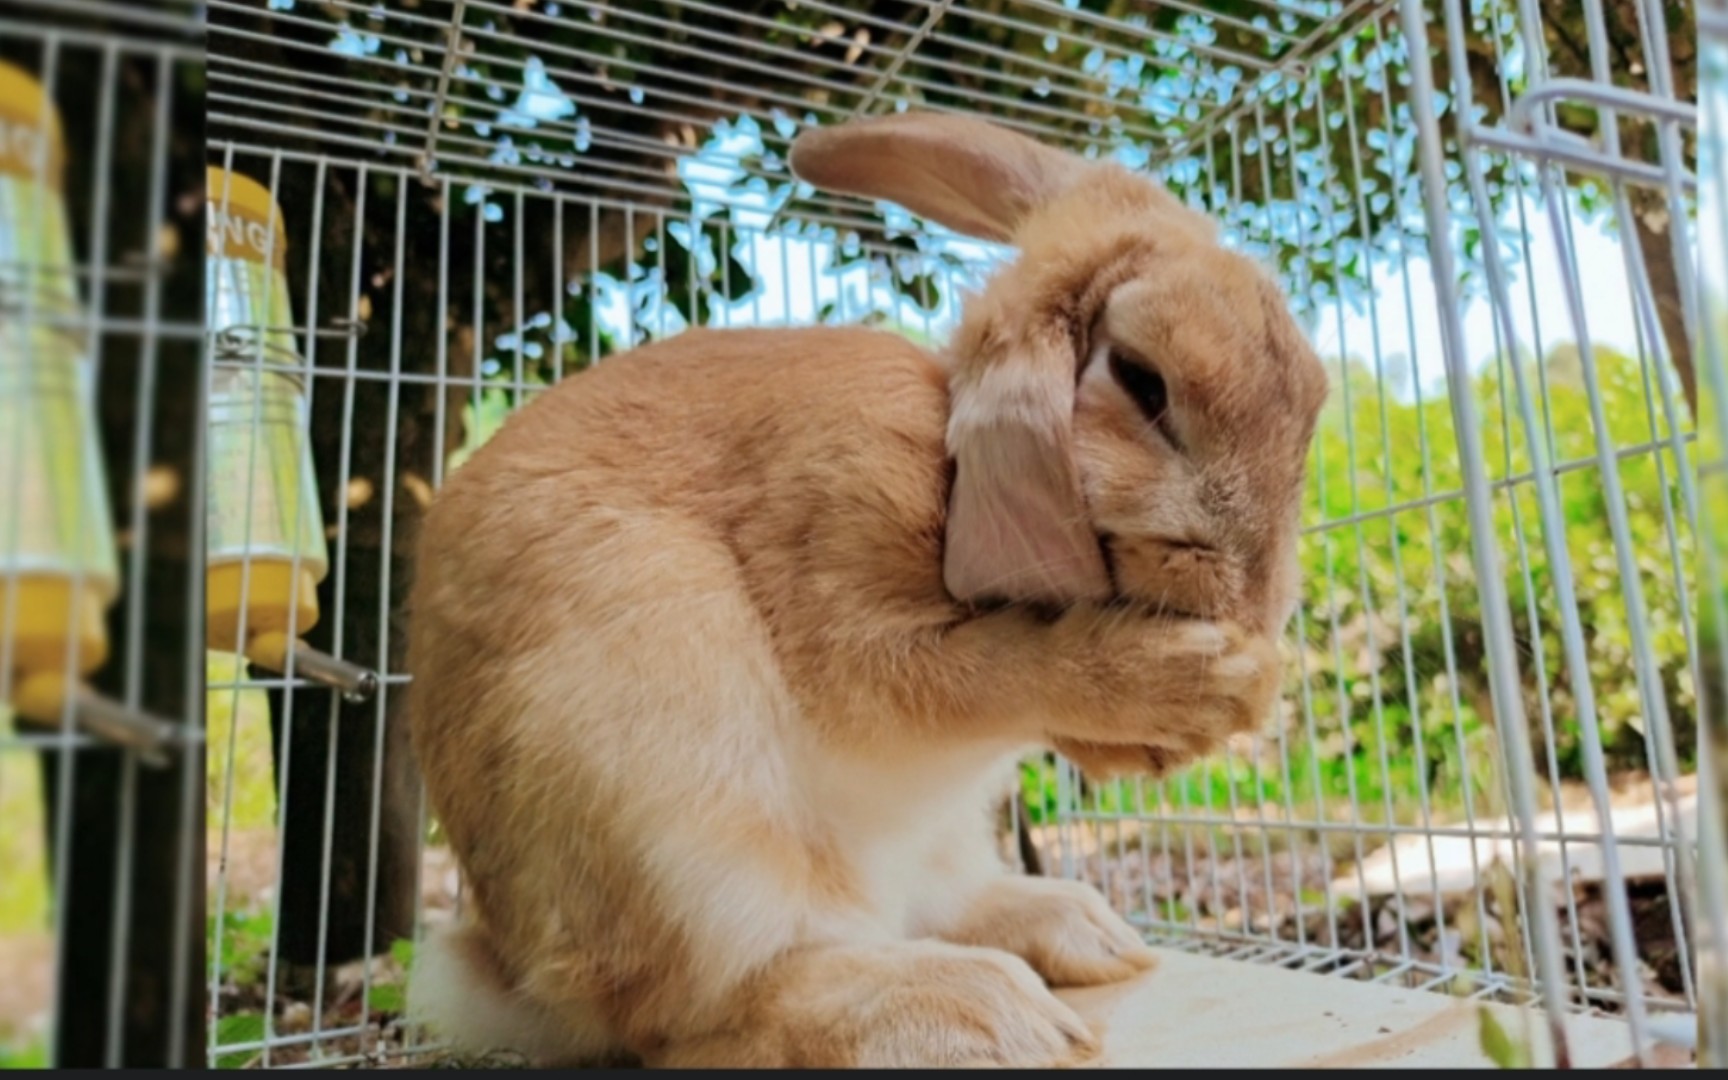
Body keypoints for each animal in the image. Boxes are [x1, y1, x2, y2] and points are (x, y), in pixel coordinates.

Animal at [407, 109, 1334, 1064]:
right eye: (1144, 383)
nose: (1258, 607)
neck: (946, 455)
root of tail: (507, 977)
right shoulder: (847, 580)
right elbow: (987, 675)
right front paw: (1207, 684)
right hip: (671, 811)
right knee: (714, 1009)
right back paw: (973, 1010)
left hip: (942, 832)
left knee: (939, 903)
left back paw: (1081, 933)